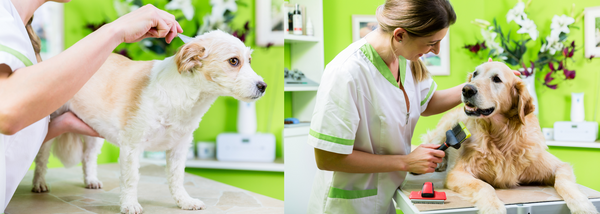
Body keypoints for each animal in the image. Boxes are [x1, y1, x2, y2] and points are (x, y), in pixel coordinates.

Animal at [31, 30, 266, 214]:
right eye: (234, 61)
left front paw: (184, 201)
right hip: (49, 128)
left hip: (93, 131)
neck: (182, 96)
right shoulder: (132, 146)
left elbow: (176, 178)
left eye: (249, 61)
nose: (263, 86)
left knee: (88, 157)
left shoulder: (179, 147)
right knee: (41, 160)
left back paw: (90, 180)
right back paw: (39, 183)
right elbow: (130, 179)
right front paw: (129, 204)